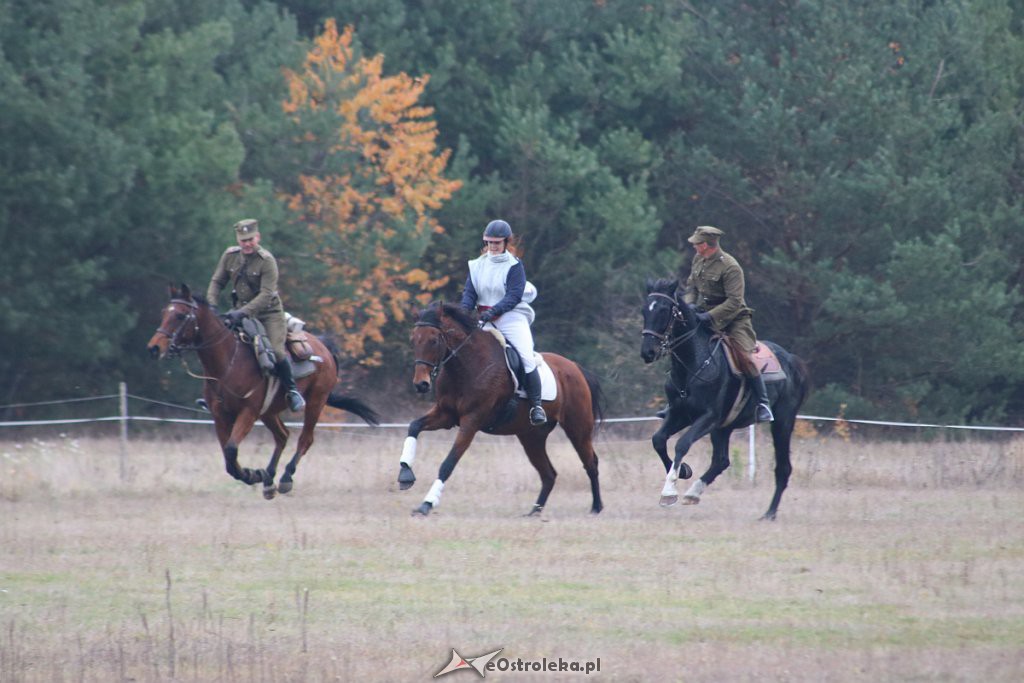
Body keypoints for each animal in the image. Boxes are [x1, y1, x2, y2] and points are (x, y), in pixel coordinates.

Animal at [147, 282, 380, 497]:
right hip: (269, 411)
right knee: (283, 436)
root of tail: (324, 347)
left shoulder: (248, 413)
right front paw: (255, 474)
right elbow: (228, 456)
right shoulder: (220, 415)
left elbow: (231, 449)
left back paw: (285, 478)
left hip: (316, 401)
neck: (227, 362)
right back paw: (268, 479)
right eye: (164, 313)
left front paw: (252, 474)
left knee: (305, 439)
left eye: (180, 315)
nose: (154, 348)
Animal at [391, 301, 598, 516]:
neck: (466, 366)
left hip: (578, 429)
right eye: (413, 340)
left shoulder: (471, 421)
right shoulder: (446, 414)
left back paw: (596, 507)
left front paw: (427, 503)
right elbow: (414, 426)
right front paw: (405, 473)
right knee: (549, 474)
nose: (421, 384)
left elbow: (448, 463)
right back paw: (534, 512)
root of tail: (574, 366)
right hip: (531, 437)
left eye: (433, 340)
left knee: (590, 463)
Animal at [638, 278, 806, 518]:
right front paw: (683, 471)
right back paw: (694, 493)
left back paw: (770, 513)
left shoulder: (709, 417)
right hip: (724, 428)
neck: (693, 365)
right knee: (721, 460)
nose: (648, 352)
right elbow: (658, 440)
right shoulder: (680, 414)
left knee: (783, 467)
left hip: (782, 423)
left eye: (664, 310)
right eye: (645, 309)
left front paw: (669, 491)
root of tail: (792, 361)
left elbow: (682, 444)